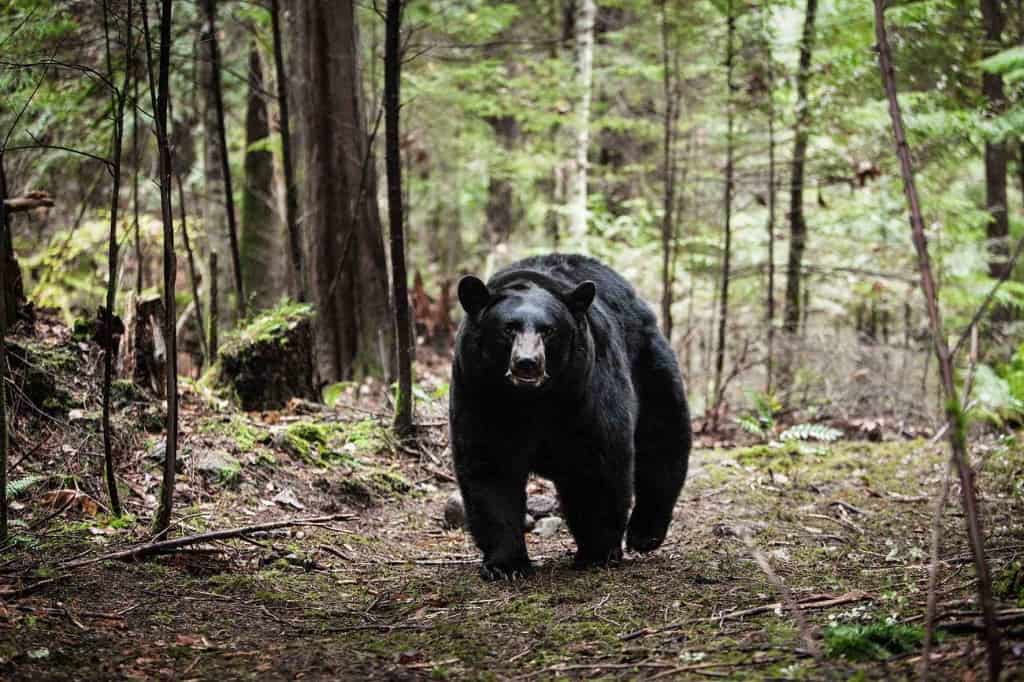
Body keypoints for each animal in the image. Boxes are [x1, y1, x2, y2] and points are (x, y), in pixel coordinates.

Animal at [452, 251, 692, 577]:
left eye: (548, 329)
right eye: (508, 327)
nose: (527, 363)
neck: (531, 401)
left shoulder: (584, 392)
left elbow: (596, 464)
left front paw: (597, 551)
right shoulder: (479, 393)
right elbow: (490, 467)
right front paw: (506, 564)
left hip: (649, 363)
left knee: (663, 437)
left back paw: (645, 534)